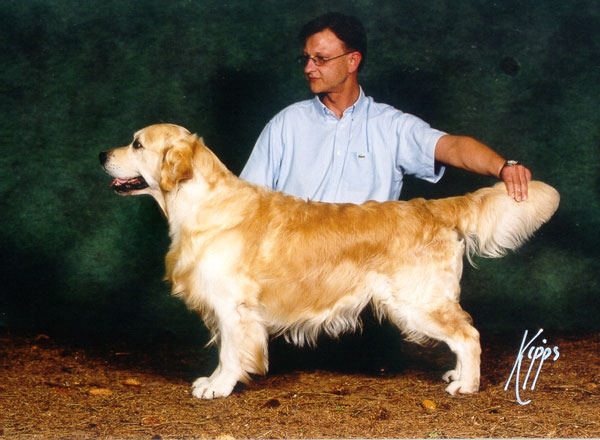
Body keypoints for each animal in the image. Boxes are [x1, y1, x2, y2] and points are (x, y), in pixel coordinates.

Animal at [97, 123, 556, 398]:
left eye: (137, 143)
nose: (101, 154)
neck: (200, 202)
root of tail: (434, 206)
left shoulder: (233, 306)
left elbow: (229, 351)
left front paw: (218, 386)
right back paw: (459, 376)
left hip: (417, 301)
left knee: (468, 335)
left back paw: (467, 385)